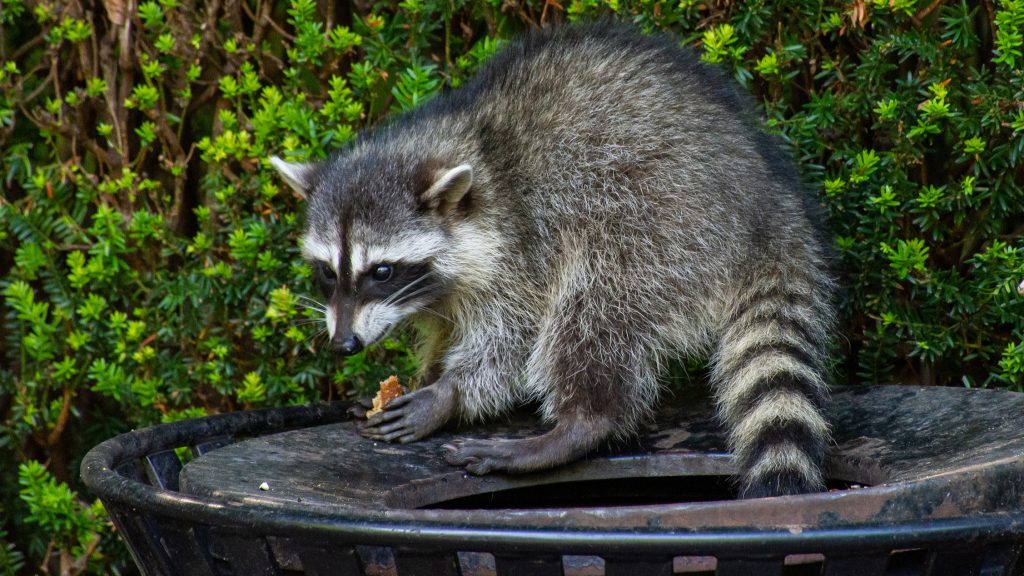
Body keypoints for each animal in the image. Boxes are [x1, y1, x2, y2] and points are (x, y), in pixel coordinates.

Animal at [271, 23, 835, 498]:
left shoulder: (522, 243)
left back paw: (579, 423)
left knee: (594, 308)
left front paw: (449, 393)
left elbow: (513, 337)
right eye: (327, 272)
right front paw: (426, 374)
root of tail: (770, 203)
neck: (472, 144)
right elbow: (444, 330)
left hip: (661, 221)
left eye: (382, 271)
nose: (343, 344)